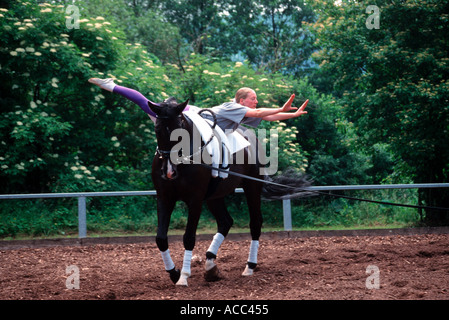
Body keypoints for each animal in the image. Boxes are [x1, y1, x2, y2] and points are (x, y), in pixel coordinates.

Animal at [149, 97, 310, 284]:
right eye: (157, 129)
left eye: (179, 130)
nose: (169, 171)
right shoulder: (164, 198)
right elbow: (161, 238)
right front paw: (174, 273)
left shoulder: (195, 200)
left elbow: (188, 238)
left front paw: (183, 276)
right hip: (214, 196)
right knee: (225, 222)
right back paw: (210, 265)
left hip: (251, 187)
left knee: (255, 223)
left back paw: (249, 266)